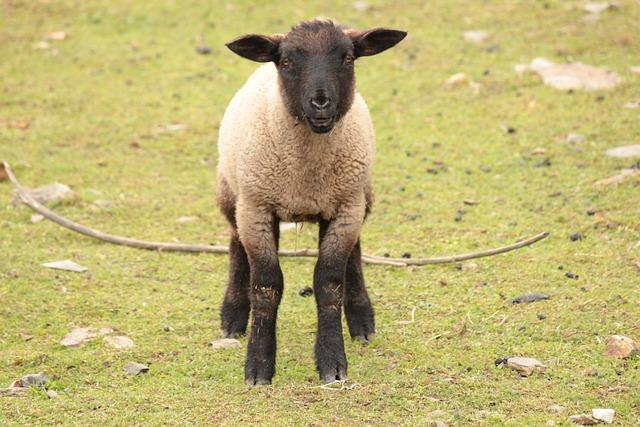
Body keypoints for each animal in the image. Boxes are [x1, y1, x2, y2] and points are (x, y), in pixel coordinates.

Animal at [215, 18, 404, 386]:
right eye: (287, 61)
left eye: (348, 58)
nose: (321, 103)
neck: (306, 177)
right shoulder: (257, 209)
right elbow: (266, 286)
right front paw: (258, 366)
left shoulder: (345, 208)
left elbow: (329, 283)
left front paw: (332, 362)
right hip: (234, 195)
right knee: (234, 243)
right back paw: (232, 316)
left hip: (358, 196)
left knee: (354, 253)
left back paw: (361, 320)